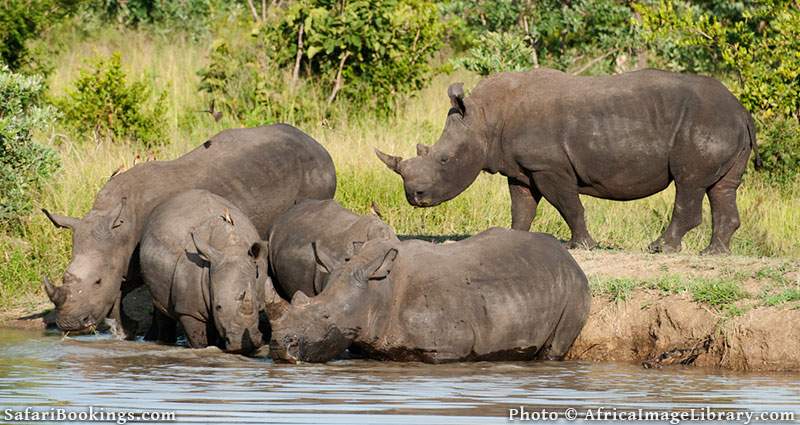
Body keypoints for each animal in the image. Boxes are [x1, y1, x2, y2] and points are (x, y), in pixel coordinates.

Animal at [141, 189, 268, 352]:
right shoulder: (189, 310)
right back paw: (164, 342)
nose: (244, 345)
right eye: (218, 307)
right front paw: (201, 349)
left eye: (258, 306)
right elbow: (198, 339)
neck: (231, 248)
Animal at [266, 227, 592, 362]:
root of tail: (567, 258)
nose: (280, 346)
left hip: (575, 287)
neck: (378, 289)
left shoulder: (449, 347)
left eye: (326, 316)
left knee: (555, 348)